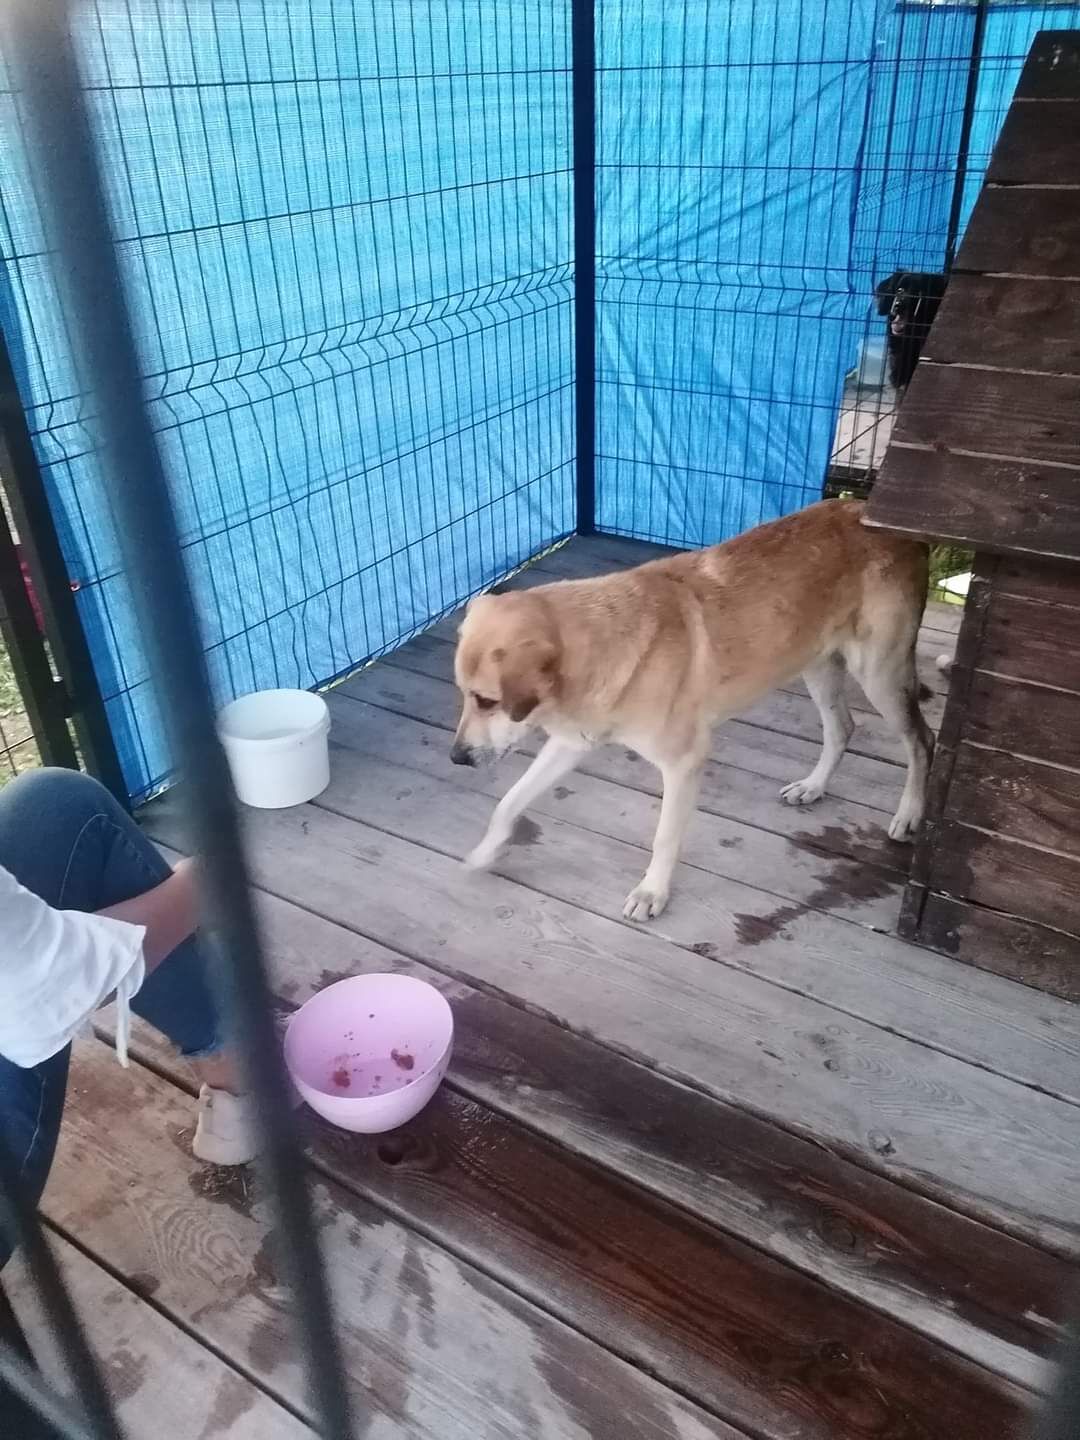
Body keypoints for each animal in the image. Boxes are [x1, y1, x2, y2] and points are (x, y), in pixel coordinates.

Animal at [452, 501, 933, 915]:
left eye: (487, 701)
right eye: (464, 694)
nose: (456, 758)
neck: (599, 646)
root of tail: (882, 520)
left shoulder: (684, 762)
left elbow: (665, 837)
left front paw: (652, 892)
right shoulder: (570, 743)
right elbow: (510, 801)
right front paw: (485, 851)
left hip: (880, 672)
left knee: (921, 739)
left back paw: (910, 814)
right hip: (817, 664)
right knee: (842, 728)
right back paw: (813, 786)